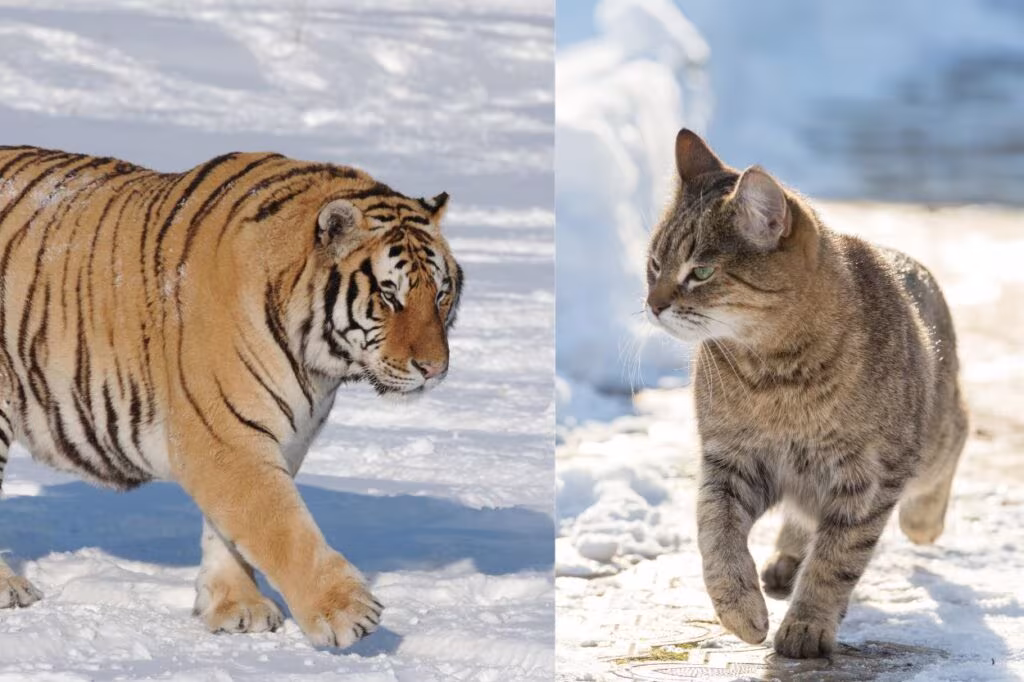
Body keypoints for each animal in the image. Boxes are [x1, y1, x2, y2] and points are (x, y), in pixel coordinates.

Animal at [0, 145, 463, 648]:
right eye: (389, 294)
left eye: (441, 294)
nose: (434, 369)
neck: (318, 362)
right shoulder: (226, 438)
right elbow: (280, 524)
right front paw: (346, 612)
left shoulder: (280, 438)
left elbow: (231, 532)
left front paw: (238, 609)